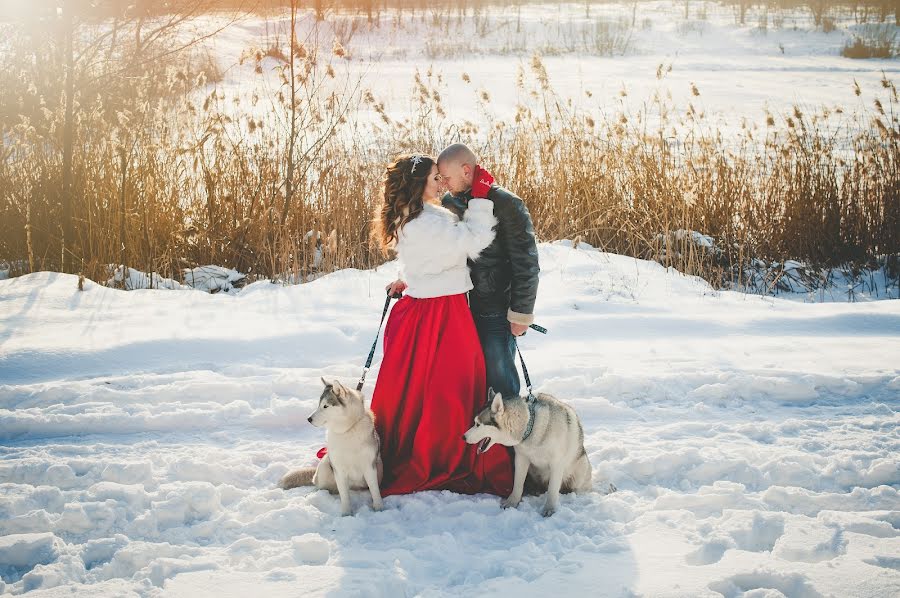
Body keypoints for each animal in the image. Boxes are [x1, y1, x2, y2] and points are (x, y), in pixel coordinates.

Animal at [278, 380, 384, 516]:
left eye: (325, 406)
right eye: (319, 405)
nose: (309, 419)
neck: (347, 431)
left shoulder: (369, 466)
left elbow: (374, 489)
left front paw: (379, 507)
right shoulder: (338, 468)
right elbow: (344, 495)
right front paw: (346, 514)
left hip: (380, 467)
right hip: (325, 465)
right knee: (319, 486)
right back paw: (313, 495)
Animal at [464, 392, 592, 516]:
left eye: (478, 424)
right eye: (475, 423)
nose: (463, 437)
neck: (530, 426)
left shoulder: (556, 463)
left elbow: (552, 490)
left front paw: (549, 508)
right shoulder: (521, 458)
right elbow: (517, 484)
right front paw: (512, 502)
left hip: (580, 468)